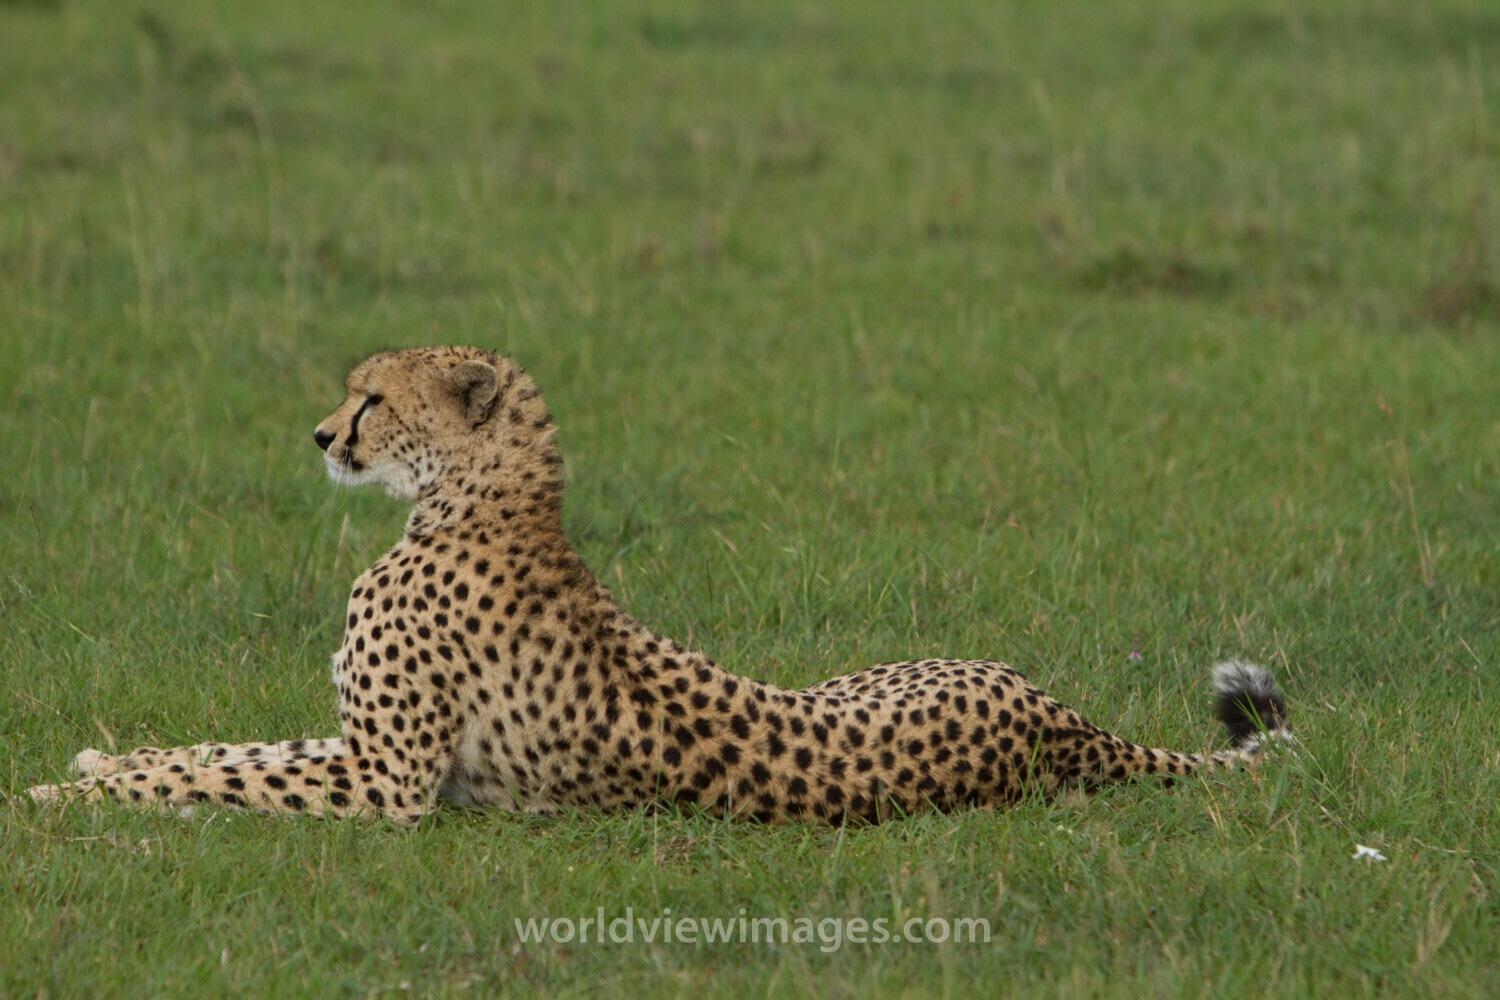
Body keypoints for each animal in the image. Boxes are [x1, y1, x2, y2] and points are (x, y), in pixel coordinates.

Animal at [28, 345, 1290, 826]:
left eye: (373, 396)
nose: (322, 434)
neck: (472, 504)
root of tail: (1055, 718)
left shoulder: (390, 784)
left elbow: (227, 773)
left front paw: (66, 794)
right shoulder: (369, 750)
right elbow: (229, 747)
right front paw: (98, 761)